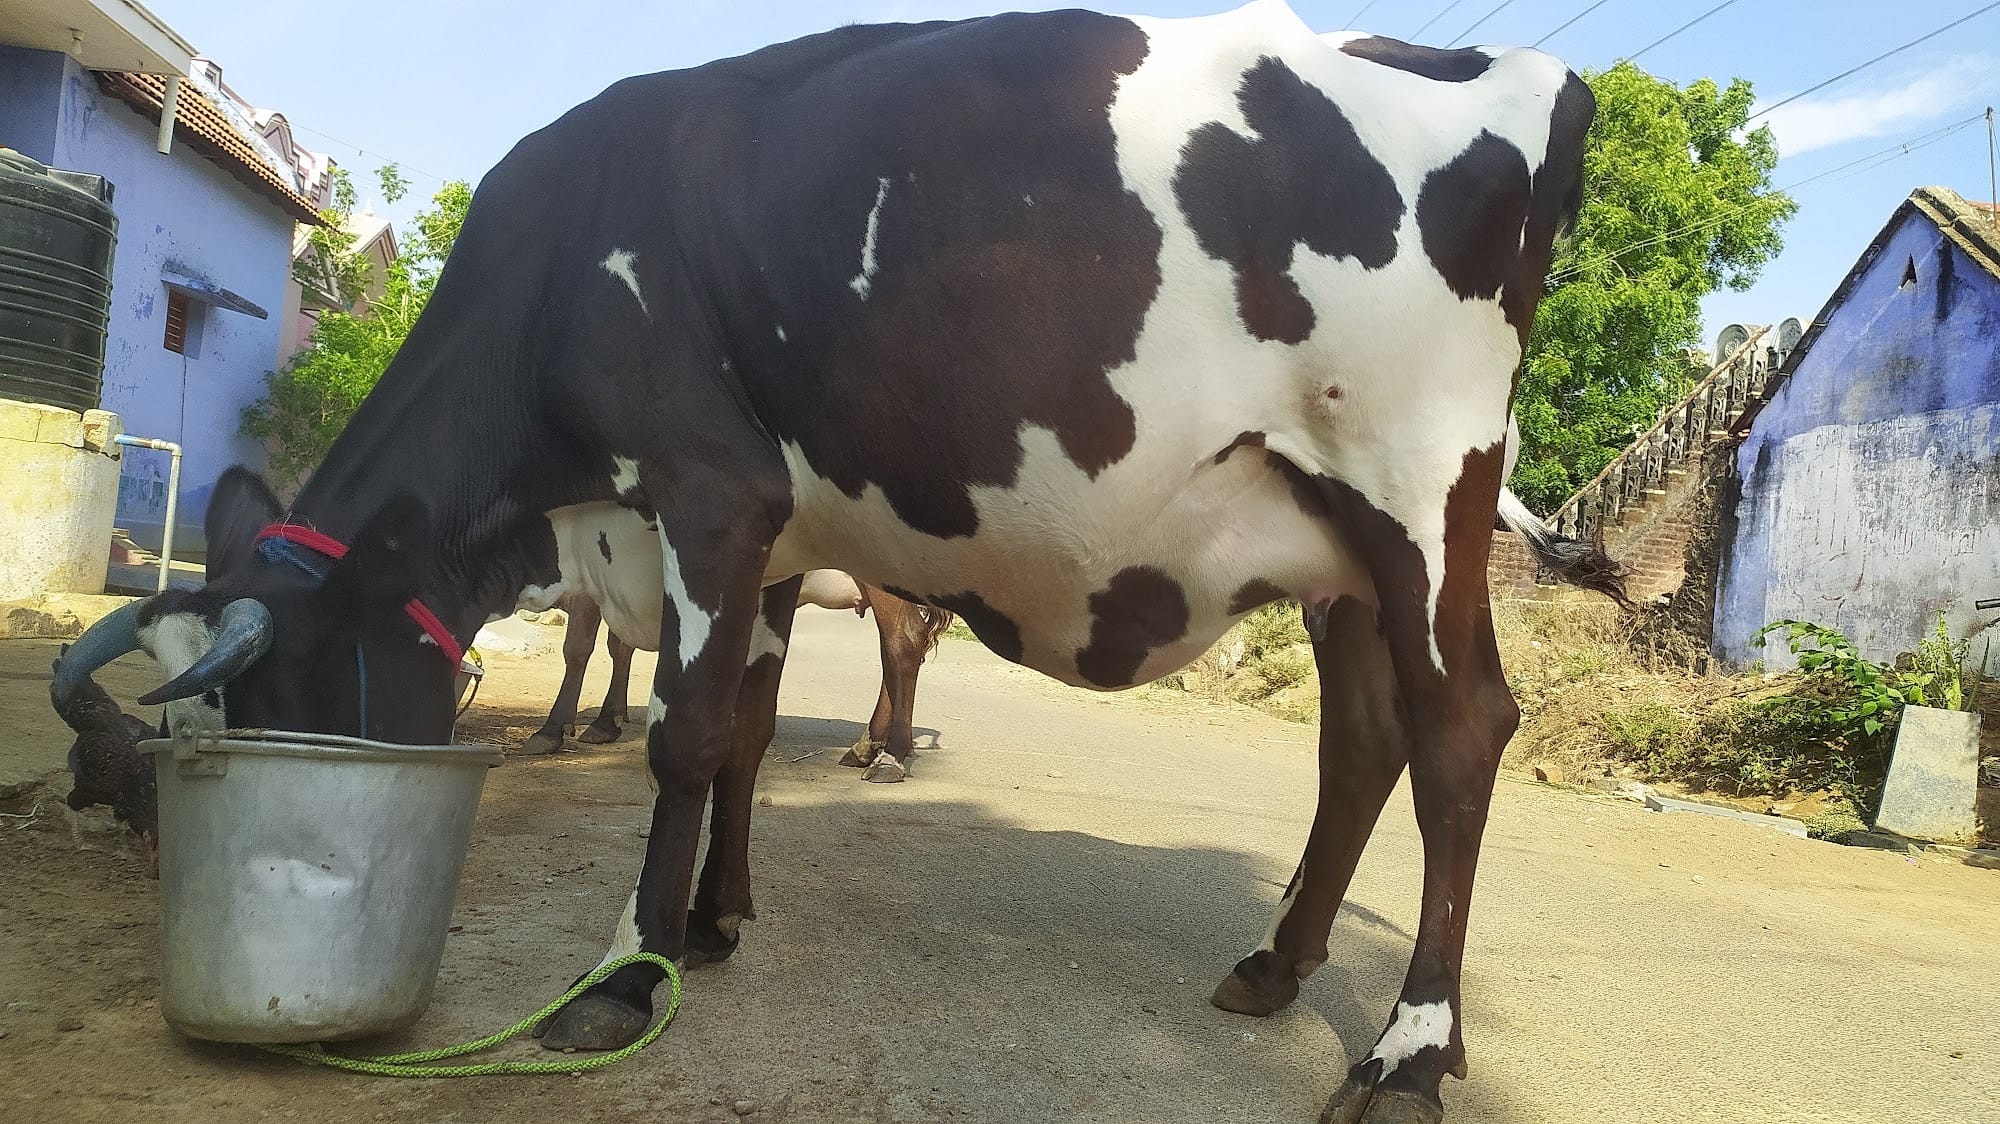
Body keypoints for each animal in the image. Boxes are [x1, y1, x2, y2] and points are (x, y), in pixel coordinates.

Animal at [528, 575, 952, 783]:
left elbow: (579, 647)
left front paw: (552, 728)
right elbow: (619, 646)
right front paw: (606, 719)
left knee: (903, 643)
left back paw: (892, 755)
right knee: (890, 650)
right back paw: (866, 746)